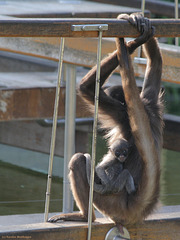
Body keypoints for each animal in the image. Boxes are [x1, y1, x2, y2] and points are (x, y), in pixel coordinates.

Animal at [48, 12, 164, 227]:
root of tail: (134, 206)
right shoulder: (150, 101)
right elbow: (155, 64)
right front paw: (139, 34)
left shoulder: (122, 113)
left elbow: (87, 89)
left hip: (109, 201)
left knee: (79, 160)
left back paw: (85, 217)